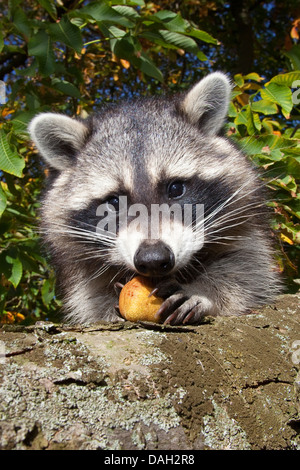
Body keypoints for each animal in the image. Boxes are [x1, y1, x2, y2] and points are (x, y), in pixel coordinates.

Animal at [28, 73, 282, 324]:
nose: (153, 259)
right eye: (114, 202)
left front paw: (205, 291)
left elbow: (249, 268)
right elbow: (90, 300)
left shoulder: (246, 227)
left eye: (176, 188)